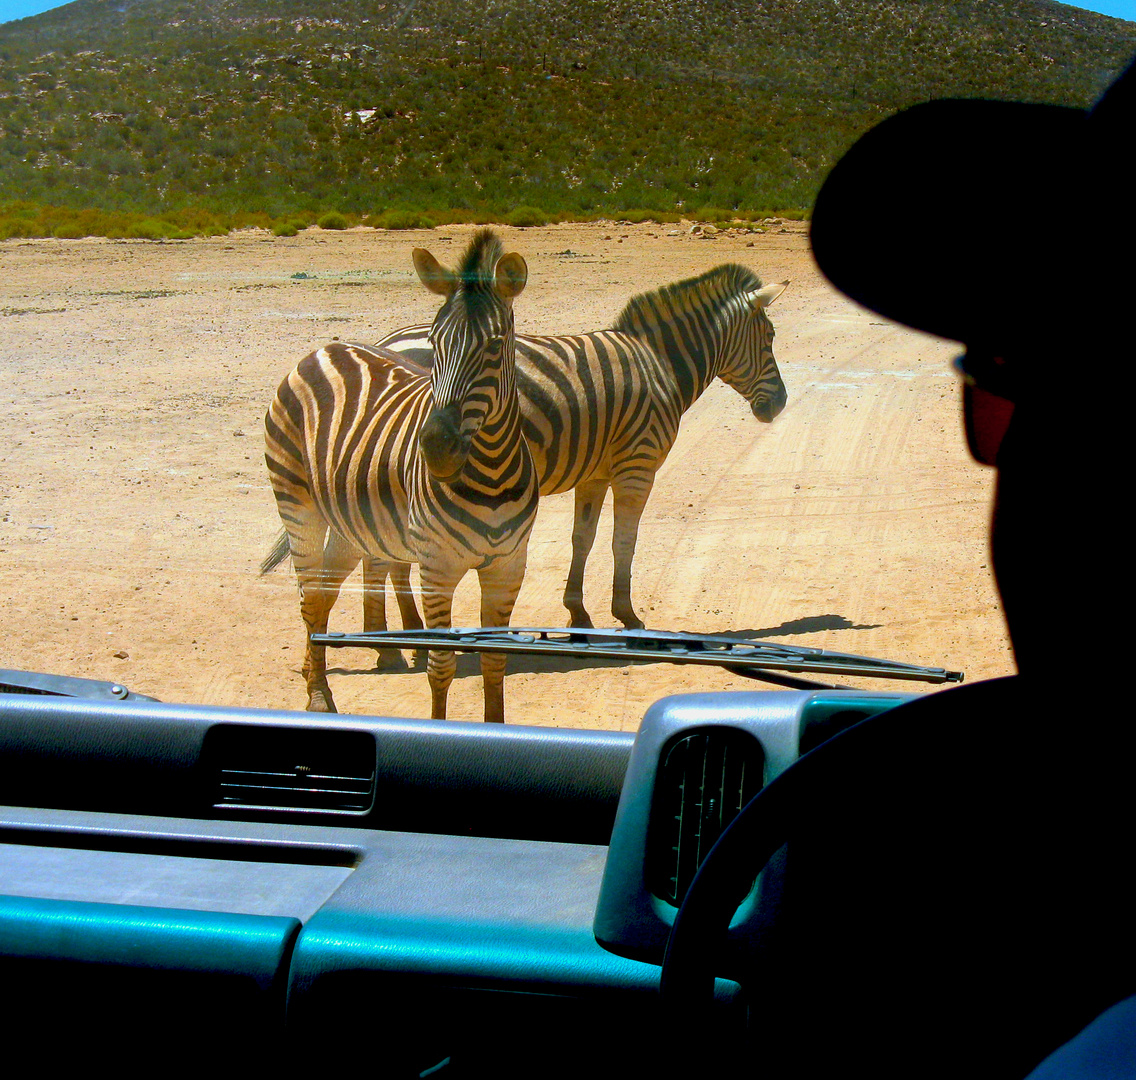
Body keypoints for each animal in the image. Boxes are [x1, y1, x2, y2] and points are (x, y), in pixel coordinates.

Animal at [261, 232, 536, 731]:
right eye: (433, 341)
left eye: (494, 345)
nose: (436, 448)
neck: (488, 475)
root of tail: (321, 349)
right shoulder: (437, 567)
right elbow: (442, 665)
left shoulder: (508, 565)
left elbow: (494, 659)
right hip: (298, 507)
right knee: (310, 598)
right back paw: (318, 698)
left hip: (352, 525)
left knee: (325, 594)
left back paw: (323, 676)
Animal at [356, 263, 790, 631]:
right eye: (769, 338)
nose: (781, 403)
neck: (659, 365)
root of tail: (385, 341)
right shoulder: (637, 467)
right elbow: (623, 540)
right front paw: (626, 614)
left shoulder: (594, 473)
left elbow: (583, 538)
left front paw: (577, 611)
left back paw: (408, 628)